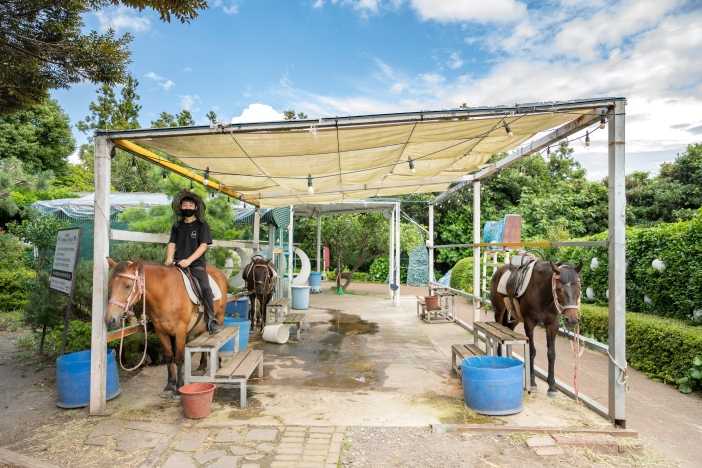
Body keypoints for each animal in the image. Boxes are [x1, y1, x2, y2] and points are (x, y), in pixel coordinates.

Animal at [490, 260, 584, 394]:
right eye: (558, 288)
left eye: (579, 288)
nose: (572, 320)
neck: (544, 293)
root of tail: (499, 271)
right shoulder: (529, 323)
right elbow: (531, 351)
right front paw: (532, 382)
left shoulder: (552, 324)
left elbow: (551, 353)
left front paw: (552, 386)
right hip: (499, 311)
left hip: (515, 317)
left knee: (508, 327)